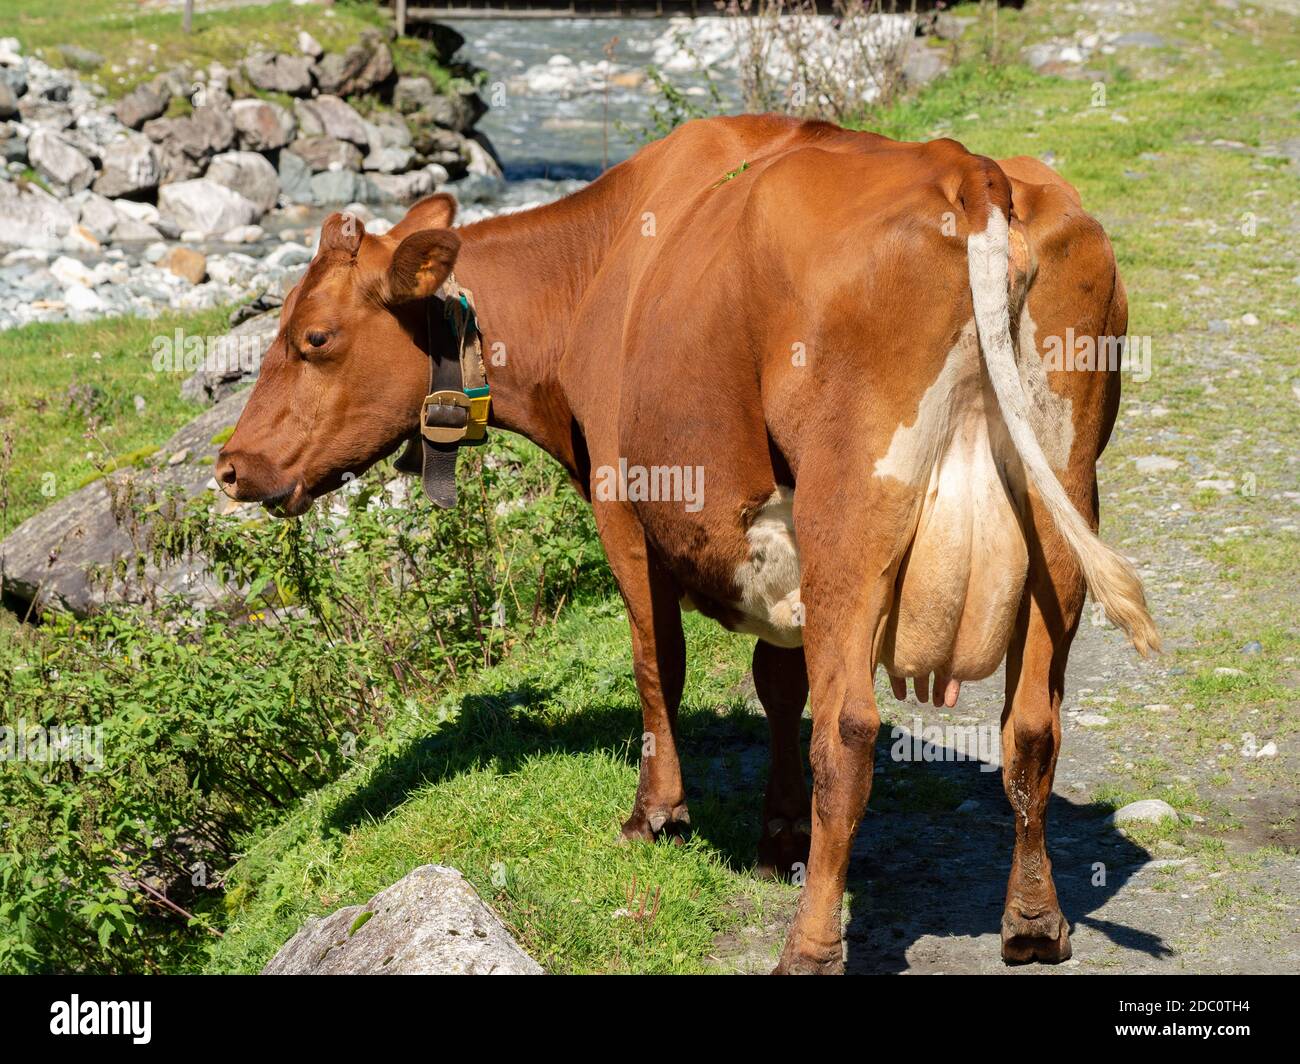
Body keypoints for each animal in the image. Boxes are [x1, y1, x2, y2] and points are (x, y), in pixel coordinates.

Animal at [217, 114, 1158, 974]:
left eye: (313, 339)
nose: (230, 466)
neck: (594, 272)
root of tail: (969, 172)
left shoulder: (621, 503)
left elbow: (655, 662)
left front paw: (657, 813)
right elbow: (779, 682)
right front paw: (779, 834)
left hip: (851, 509)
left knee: (850, 732)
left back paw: (810, 949)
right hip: (1066, 503)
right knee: (1030, 725)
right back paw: (1033, 921)